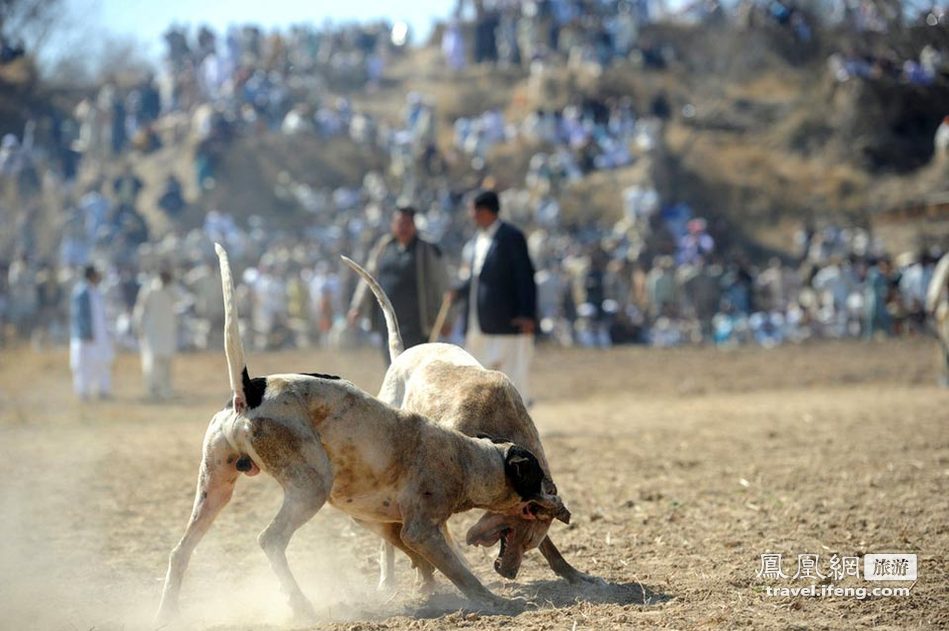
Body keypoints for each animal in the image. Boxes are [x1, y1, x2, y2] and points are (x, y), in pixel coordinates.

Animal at [156, 246, 572, 624]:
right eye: (536, 476)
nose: (562, 507)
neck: (469, 457)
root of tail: (250, 389)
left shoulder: (382, 522)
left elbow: (420, 560)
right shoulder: (421, 530)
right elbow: (458, 570)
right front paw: (493, 601)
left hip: (215, 487)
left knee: (180, 551)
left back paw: (167, 613)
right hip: (310, 486)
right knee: (269, 540)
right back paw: (300, 604)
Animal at [340, 256, 600, 588]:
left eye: (530, 543)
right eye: (520, 534)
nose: (510, 572)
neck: (497, 426)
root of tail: (401, 356)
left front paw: (572, 572)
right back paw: (388, 579)